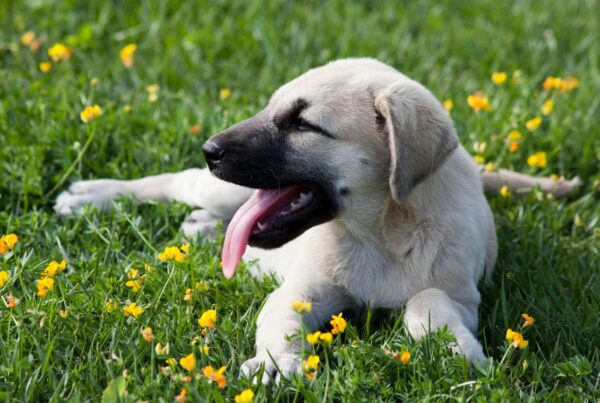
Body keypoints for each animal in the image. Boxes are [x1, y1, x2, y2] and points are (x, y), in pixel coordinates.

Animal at [54, 58, 580, 384]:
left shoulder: (462, 296)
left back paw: (201, 227)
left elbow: (425, 299)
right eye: (270, 108)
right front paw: (275, 362)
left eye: (303, 124)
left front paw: (458, 352)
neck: (378, 235)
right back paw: (91, 195)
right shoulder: (301, 291)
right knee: (179, 182)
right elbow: (280, 318)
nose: (210, 149)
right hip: (222, 187)